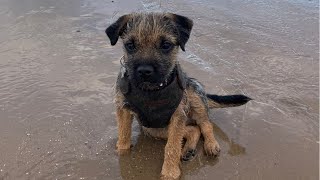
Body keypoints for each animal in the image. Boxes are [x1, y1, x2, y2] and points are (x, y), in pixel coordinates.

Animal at [105, 13, 250, 180]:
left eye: (166, 45)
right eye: (130, 45)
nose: (144, 71)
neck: (150, 91)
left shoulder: (177, 114)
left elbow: (172, 145)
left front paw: (170, 172)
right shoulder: (123, 109)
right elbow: (123, 134)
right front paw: (121, 154)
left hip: (194, 96)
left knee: (205, 124)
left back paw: (210, 144)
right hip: (153, 129)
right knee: (192, 129)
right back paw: (188, 150)